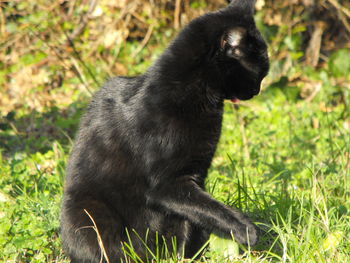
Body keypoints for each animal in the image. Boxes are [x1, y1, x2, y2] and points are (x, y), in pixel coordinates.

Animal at [60, 1, 270, 262]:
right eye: (259, 71)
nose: (257, 90)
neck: (191, 96)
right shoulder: (166, 184)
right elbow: (210, 208)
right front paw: (245, 230)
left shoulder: (193, 177)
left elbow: (199, 213)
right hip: (86, 212)